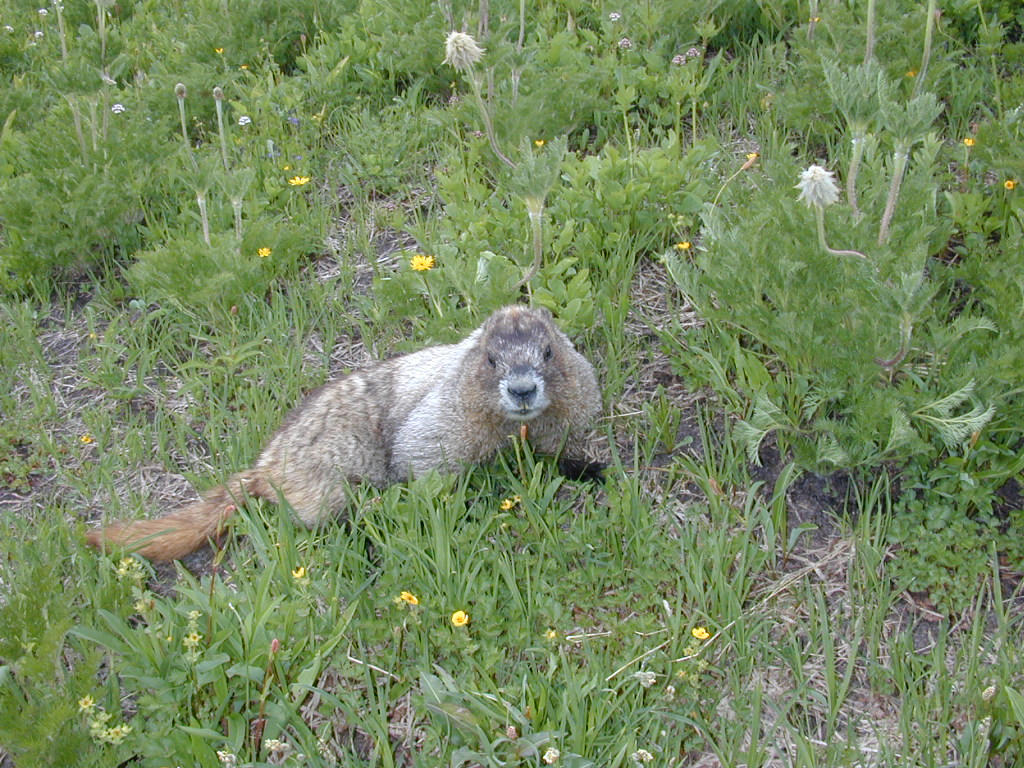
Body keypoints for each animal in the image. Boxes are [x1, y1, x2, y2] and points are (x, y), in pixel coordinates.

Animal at [86, 305, 602, 561]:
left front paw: (589, 468)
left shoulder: (569, 403)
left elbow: (558, 445)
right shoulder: (450, 413)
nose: (522, 389)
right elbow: (424, 456)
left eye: (549, 352)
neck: (514, 423)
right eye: (491, 359)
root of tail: (262, 468)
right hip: (326, 479)